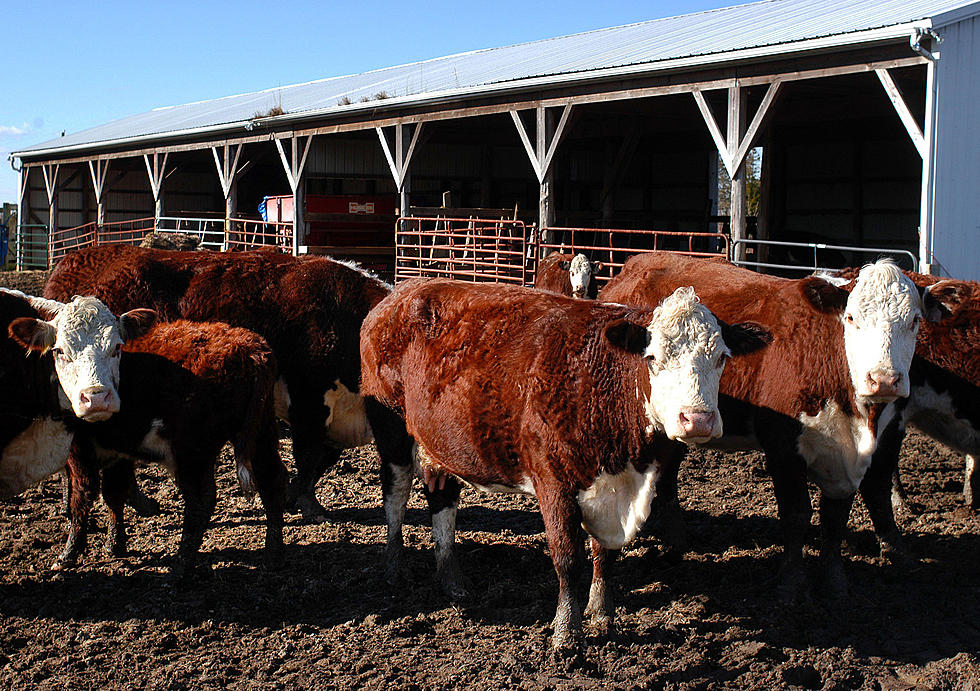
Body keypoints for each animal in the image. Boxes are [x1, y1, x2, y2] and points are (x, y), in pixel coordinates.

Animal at [43, 243, 394, 520]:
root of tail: (75, 259)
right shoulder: (308, 399)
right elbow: (309, 456)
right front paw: (310, 506)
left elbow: (325, 458)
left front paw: (295, 497)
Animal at [600, 254, 952, 600]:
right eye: (851, 318)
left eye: (914, 321)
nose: (883, 379)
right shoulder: (783, 447)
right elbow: (796, 514)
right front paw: (792, 581)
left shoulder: (885, 437)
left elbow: (852, 509)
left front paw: (846, 575)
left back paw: (677, 543)